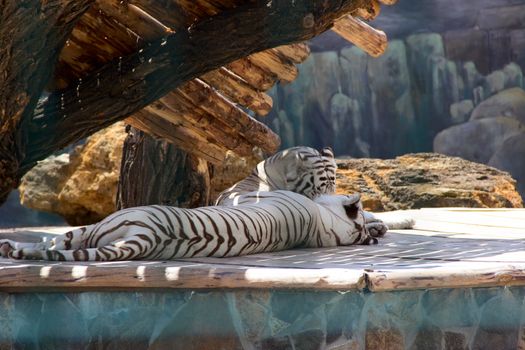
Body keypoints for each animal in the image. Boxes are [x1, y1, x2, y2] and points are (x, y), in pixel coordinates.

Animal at [0, 145, 414, 260]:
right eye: (326, 181)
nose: (330, 190)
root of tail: (147, 239)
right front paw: (383, 224)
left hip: (104, 224)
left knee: (53, 242)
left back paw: (11, 246)